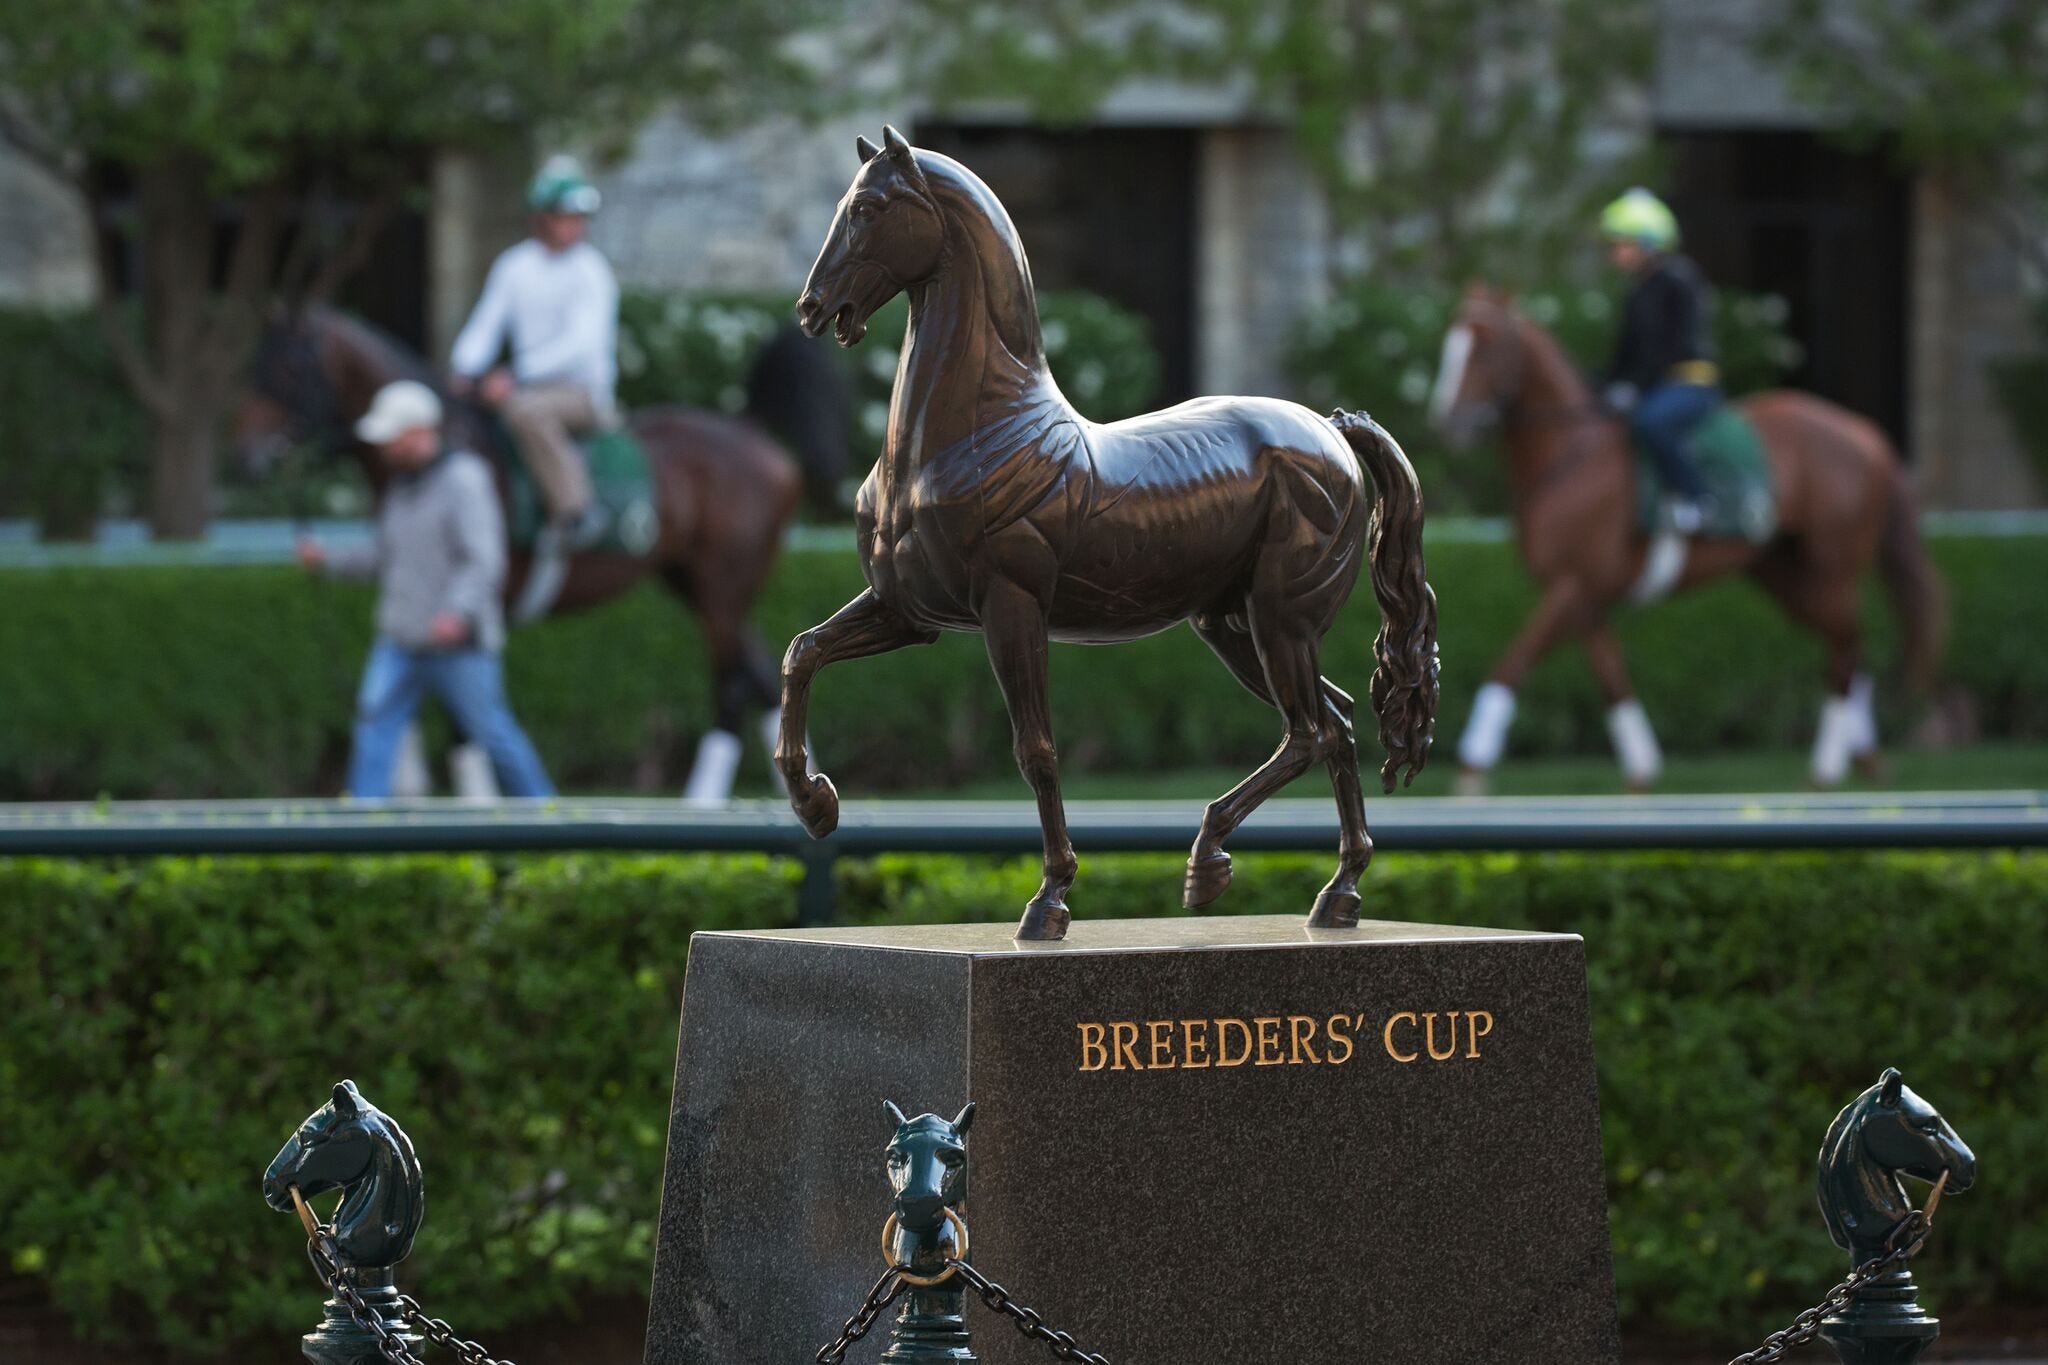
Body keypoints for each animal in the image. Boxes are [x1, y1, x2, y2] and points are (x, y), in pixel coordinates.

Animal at [243, 306, 802, 802]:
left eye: (289, 369)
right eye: (254, 368)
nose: (253, 458)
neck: (447, 452)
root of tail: (753, 431)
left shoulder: (475, 606)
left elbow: (466, 723)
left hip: (720, 590)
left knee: (732, 685)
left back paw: (704, 803)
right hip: (698, 585)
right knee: (762, 673)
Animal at [778, 127, 1441, 941]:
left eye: (869, 208)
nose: (812, 309)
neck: (966, 436)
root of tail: (1333, 431)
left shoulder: (1011, 609)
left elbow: (1035, 749)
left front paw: (1050, 900)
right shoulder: (911, 612)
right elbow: (802, 653)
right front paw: (816, 805)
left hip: (1281, 620)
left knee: (1309, 732)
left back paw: (1207, 863)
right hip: (1233, 626)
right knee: (1338, 723)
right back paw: (1338, 893)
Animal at [1433, 286, 1941, 789]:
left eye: (1486, 348)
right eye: (1452, 344)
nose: (1449, 422)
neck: (1572, 455)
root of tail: (1864, 433)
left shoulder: (1571, 584)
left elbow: (1512, 662)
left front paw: (1471, 768)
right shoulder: (1586, 599)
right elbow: (1612, 677)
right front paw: (1641, 770)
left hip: (1831, 568)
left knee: (1848, 647)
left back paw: (1827, 768)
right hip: (1786, 575)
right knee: (1849, 646)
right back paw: (1865, 758)